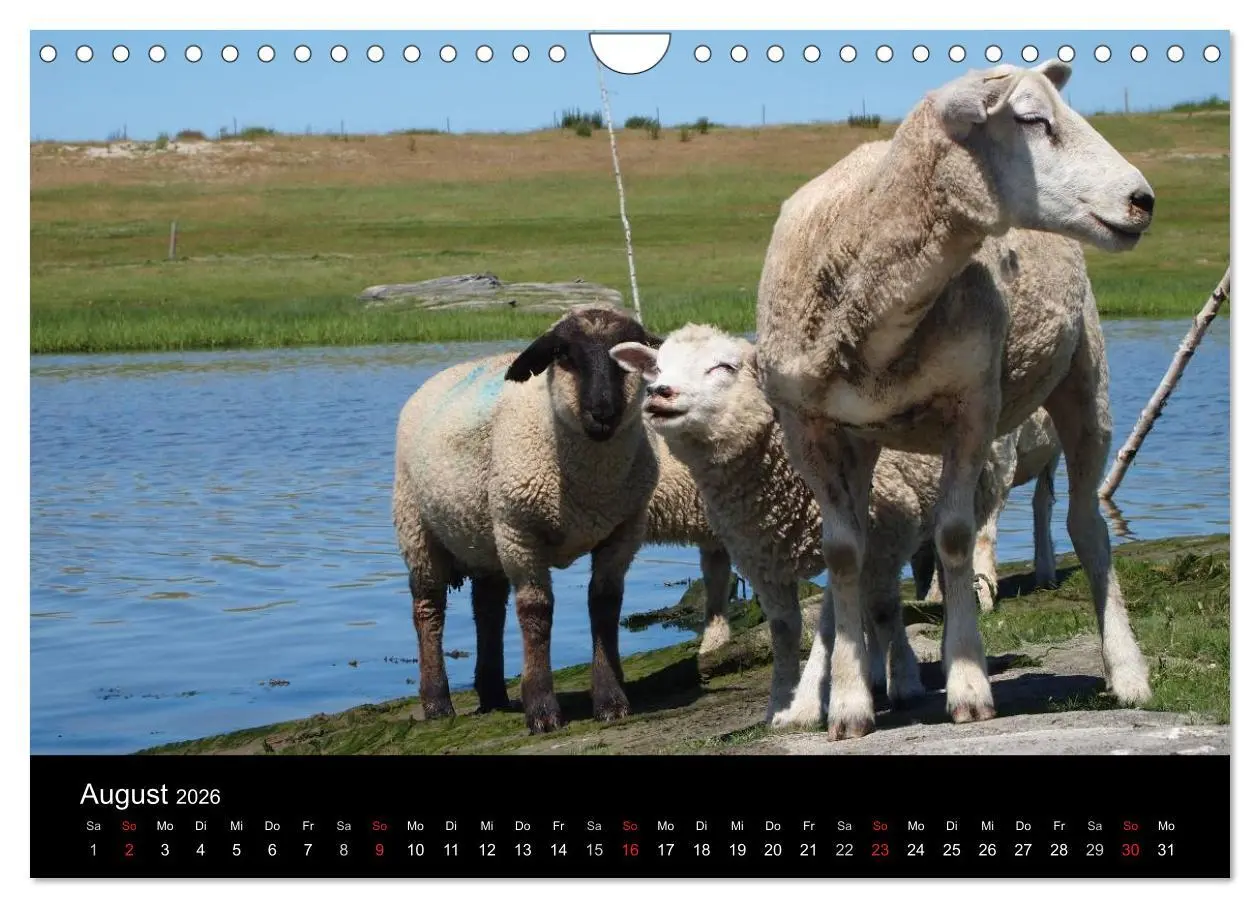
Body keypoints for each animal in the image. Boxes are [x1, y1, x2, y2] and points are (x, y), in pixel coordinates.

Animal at [392, 303, 663, 734]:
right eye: (562, 354)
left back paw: (493, 694)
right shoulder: (521, 532)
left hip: (486, 535)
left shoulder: (623, 531)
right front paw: (542, 710)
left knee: (488, 609)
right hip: (419, 528)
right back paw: (437, 703)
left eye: (628, 355)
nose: (602, 412)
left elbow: (604, 605)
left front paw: (610, 700)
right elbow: (536, 612)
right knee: (428, 609)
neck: (591, 491)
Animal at [611, 323, 1028, 727]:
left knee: (923, 582)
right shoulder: (758, 553)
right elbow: (784, 631)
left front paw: (809, 704)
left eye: (724, 367)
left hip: (968, 483)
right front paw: (780, 706)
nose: (659, 392)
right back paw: (874, 675)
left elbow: (832, 626)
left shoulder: (871, 530)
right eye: (657, 368)